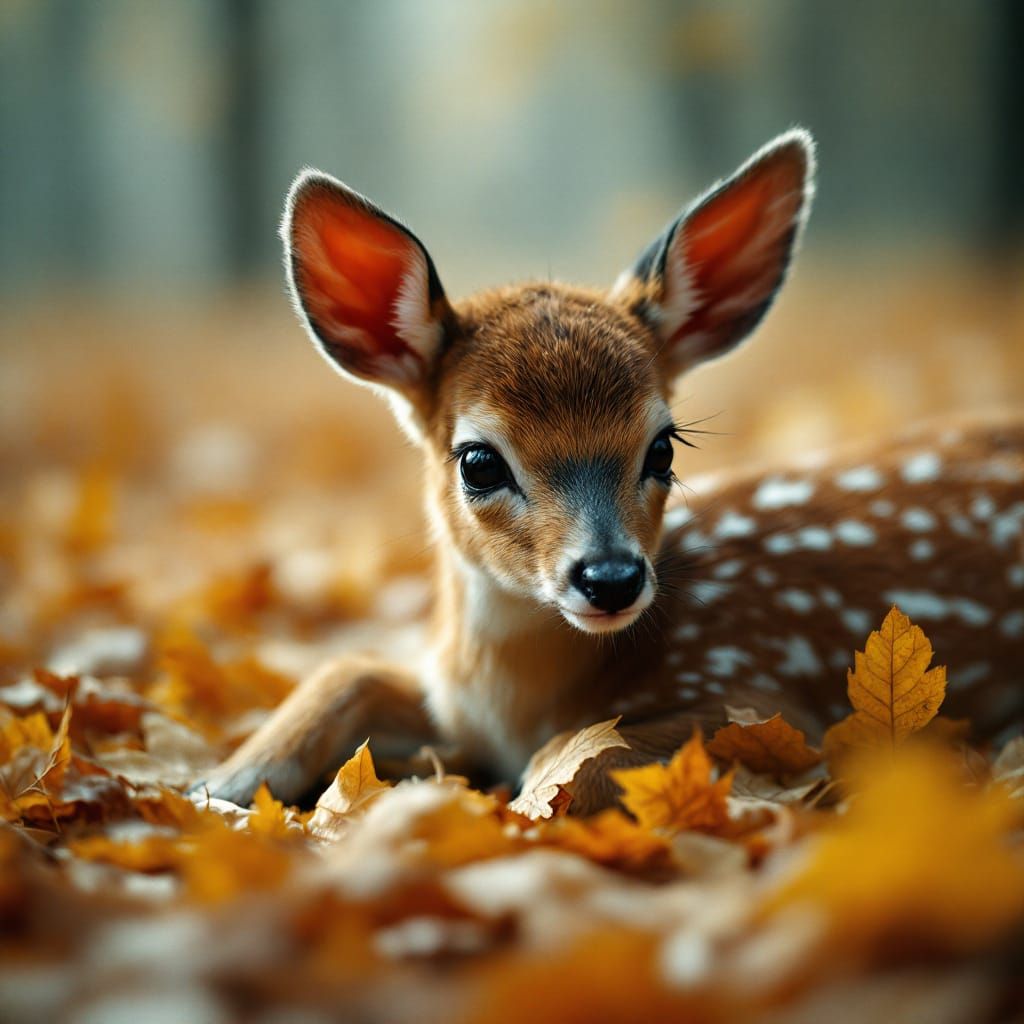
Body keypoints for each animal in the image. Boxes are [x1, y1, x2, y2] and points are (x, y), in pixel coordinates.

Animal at [198, 129, 1024, 813]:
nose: (611, 578)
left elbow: (571, 759)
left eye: (663, 447)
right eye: (478, 461)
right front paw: (221, 784)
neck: (513, 702)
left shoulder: (763, 696)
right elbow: (347, 669)